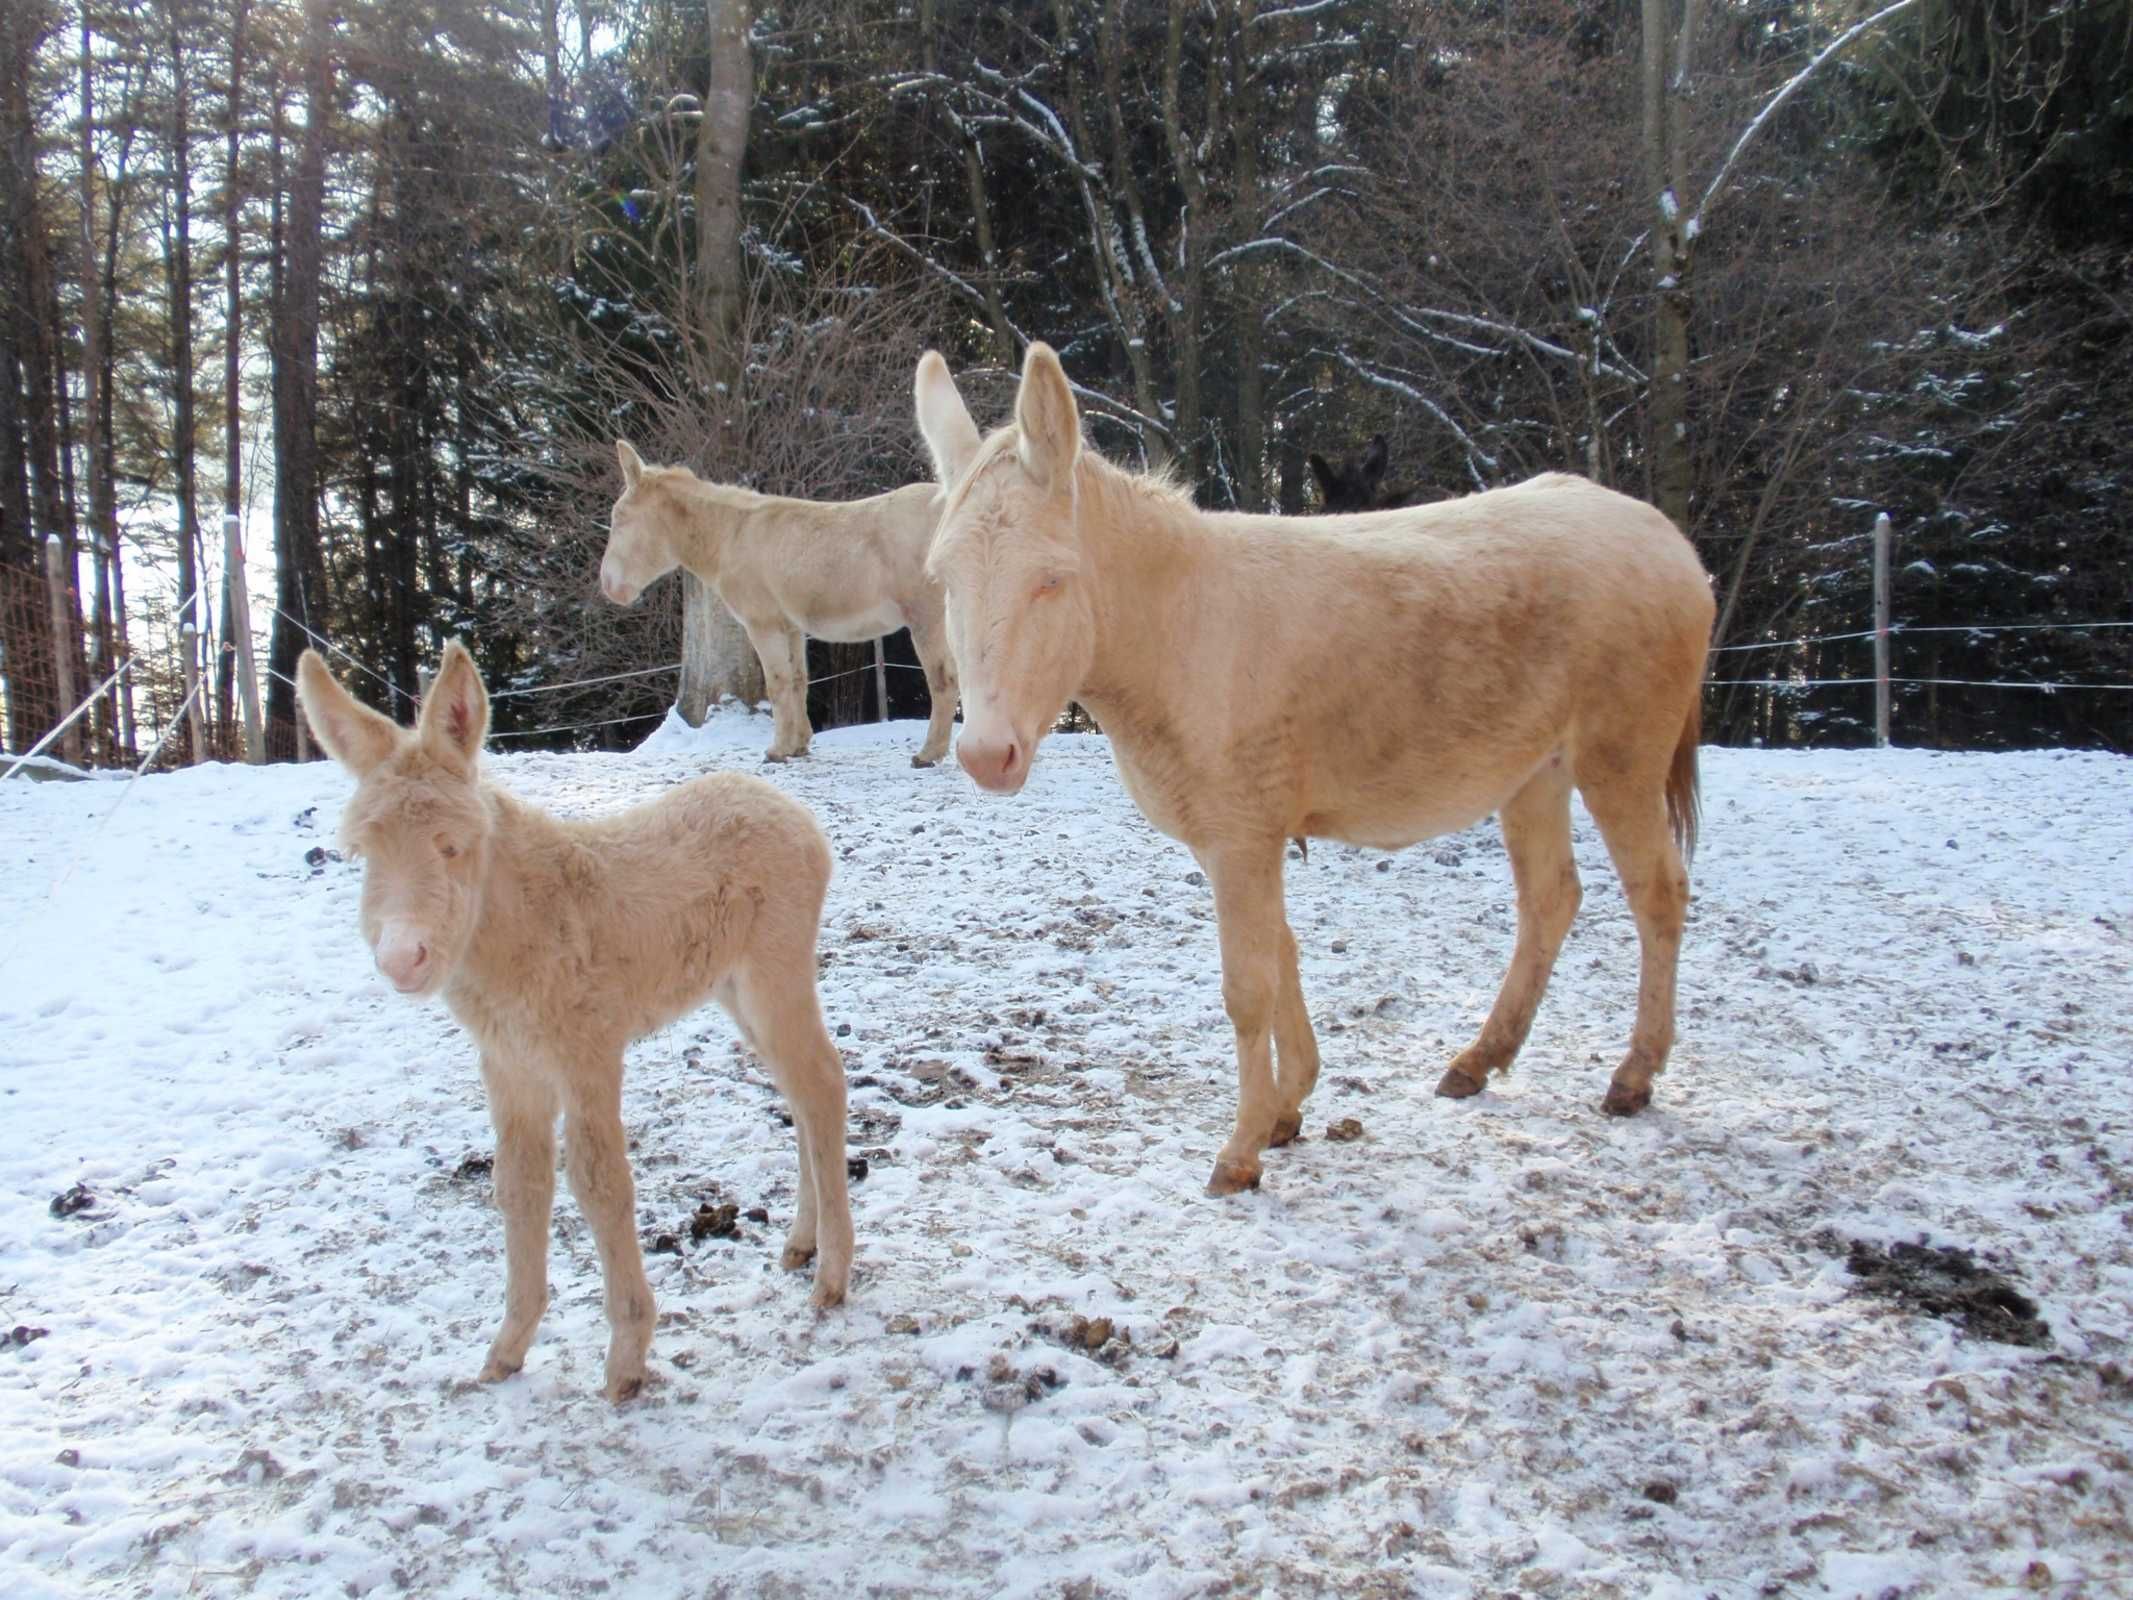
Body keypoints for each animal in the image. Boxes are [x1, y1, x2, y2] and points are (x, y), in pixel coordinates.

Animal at [297, 640, 853, 1400]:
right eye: (360, 852)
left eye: (453, 845)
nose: (402, 958)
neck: (509, 943)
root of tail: (795, 812)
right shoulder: (507, 1061)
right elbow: (518, 1184)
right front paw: (506, 1350)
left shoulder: (587, 1046)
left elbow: (598, 1181)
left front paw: (627, 1358)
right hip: (735, 990)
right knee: (798, 1090)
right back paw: (802, 1243)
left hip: (777, 969)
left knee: (823, 1082)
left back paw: (833, 1275)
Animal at [601, 440, 960, 767]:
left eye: (620, 517)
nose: (608, 587)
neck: (732, 535)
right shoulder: (791, 628)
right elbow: (798, 682)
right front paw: (799, 745)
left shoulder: (764, 626)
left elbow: (777, 684)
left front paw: (778, 750)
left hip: (927, 618)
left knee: (944, 681)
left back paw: (929, 754)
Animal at [914, 344, 1713, 1196]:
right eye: (943, 582)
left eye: (1052, 579)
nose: (984, 755)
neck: (1178, 632)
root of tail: (1659, 530)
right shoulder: (1230, 835)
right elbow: (1283, 949)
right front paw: (1286, 1108)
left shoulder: (1242, 836)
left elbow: (1246, 985)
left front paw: (1239, 1153)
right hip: (1535, 769)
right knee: (1550, 899)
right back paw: (1478, 1060)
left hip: (1619, 756)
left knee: (1656, 893)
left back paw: (1633, 1076)